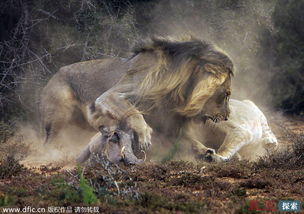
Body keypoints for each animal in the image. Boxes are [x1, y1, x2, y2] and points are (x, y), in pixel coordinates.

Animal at [40, 36, 234, 158]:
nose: (226, 116)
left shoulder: (167, 123)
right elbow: (134, 113)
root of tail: (53, 76)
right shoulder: (109, 96)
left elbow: (189, 140)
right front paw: (144, 135)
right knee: (51, 141)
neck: (178, 93)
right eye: (226, 95)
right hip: (60, 115)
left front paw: (207, 152)